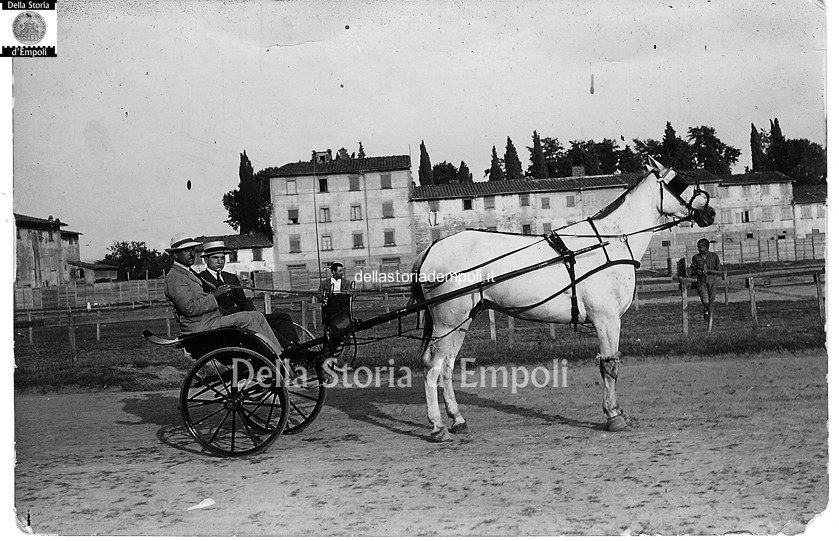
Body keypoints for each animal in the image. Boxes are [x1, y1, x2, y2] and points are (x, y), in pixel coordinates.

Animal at [412, 158, 716, 440]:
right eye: (679, 181)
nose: (710, 211)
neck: (609, 240)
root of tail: (430, 249)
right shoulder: (606, 319)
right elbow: (609, 364)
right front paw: (613, 415)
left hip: (460, 323)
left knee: (447, 366)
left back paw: (457, 419)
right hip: (447, 322)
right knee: (431, 366)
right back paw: (438, 426)